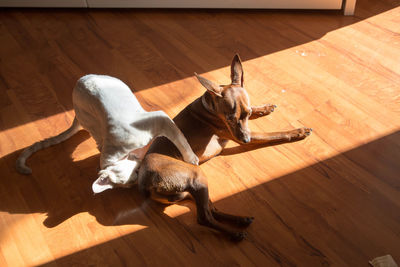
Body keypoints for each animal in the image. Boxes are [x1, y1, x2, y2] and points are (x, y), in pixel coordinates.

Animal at [16, 74, 198, 194]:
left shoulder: (161, 119)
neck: (129, 154)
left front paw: (191, 159)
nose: (138, 177)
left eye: (136, 174)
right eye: (133, 180)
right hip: (93, 124)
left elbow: (181, 140)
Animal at [138, 55, 312, 243]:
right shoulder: (239, 134)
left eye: (247, 114)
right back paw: (234, 233)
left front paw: (264, 108)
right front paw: (298, 132)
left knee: (211, 210)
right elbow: (275, 134)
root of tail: (145, 185)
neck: (209, 106)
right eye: (229, 118)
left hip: (192, 188)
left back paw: (240, 220)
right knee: (204, 217)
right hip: (196, 176)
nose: (245, 140)